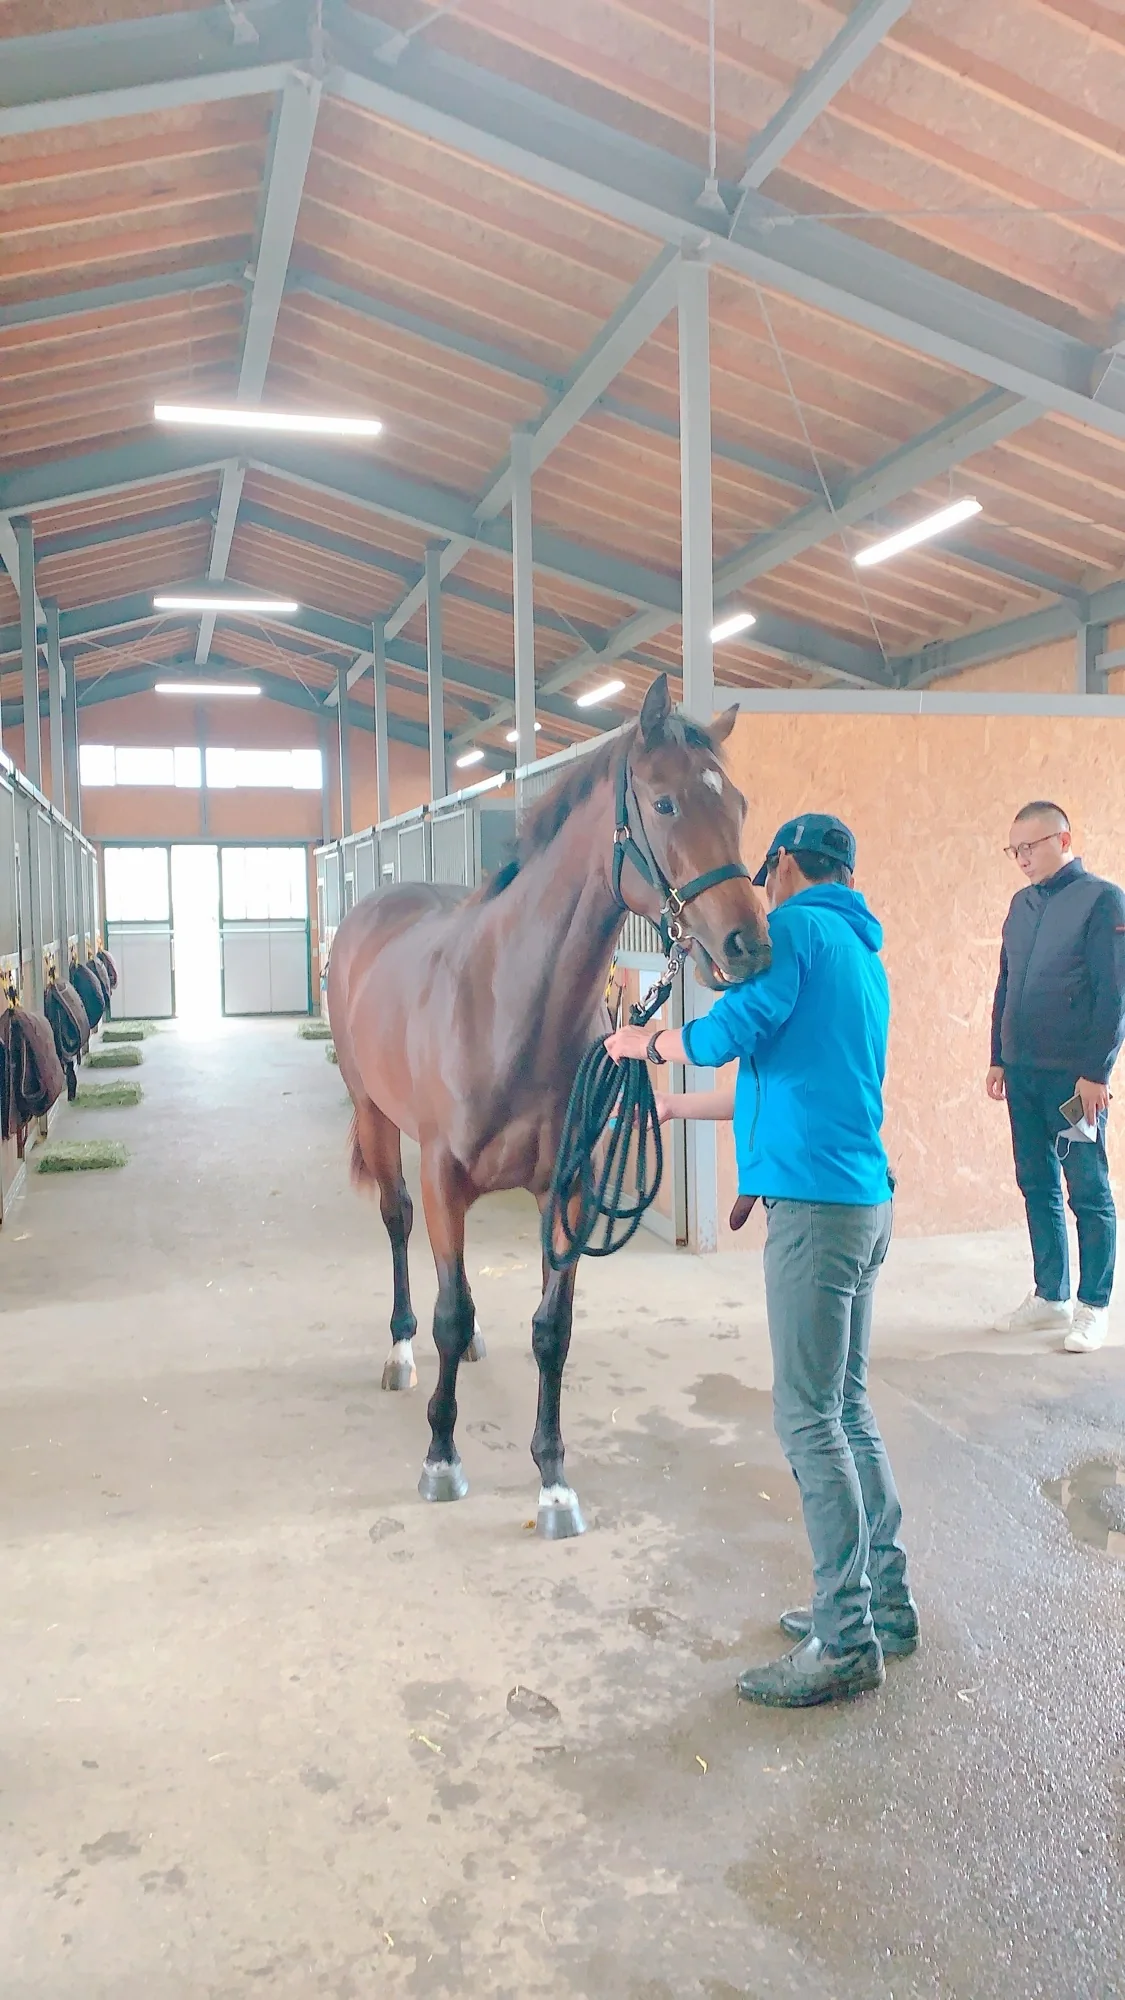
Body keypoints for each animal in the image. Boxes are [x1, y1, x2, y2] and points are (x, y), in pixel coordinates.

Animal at [327, 674, 771, 1537]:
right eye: (664, 803)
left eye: (737, 803)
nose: (748, 946)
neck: (506, 1007)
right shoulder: (443, 1179)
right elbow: (450, 1308)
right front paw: (441, 1458)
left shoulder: (565, 1191)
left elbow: (550, 1329)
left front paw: (554, 1482)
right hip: (375, 1117)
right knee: (398, 1228)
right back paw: (400, 1352)